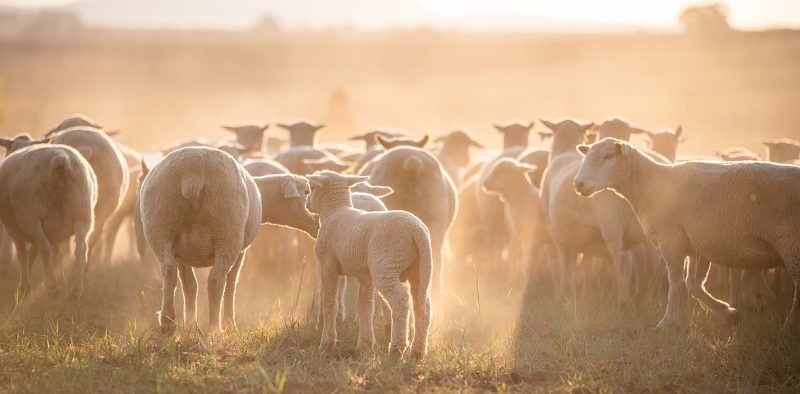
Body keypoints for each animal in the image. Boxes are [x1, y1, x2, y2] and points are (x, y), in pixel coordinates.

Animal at [0, 142, 97, 298]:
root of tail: (60, 160)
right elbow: (31, 252)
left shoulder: (14, 229)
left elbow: (22, 254)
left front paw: (24, 286)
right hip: (83, 214)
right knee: (81, 249)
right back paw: (76, 291)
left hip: (31, 216)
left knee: (45, 248)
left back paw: (52, 287)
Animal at [141, 146, 318, 334]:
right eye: (307, 192)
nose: (318, 224)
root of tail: (193, 172)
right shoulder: (241, 250)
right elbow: (231, 284)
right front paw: (229, 323)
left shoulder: (181, 253)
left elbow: (190, 286)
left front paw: (189, 324)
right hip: (227, 231)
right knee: (216, 280)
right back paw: (215, 328)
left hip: (161, 227)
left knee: (168, 270)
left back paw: (167, 323)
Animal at [306, 171, 434, 358]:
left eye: (312, 187)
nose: (306, 202)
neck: (334, 212)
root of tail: (416, 229)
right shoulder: (365, 275)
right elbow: (365, 305)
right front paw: (365, 345)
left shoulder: (327, 265)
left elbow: (329, 302)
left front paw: (327, 344)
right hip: (420, 268)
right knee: (422, 304)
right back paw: (417, 350)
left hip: (385, 266)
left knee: (401, 300)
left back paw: (397, 347)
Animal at [580, 139, 800, 330]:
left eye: (608, 156)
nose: (578, 184)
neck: (651, 186)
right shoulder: (698, 245)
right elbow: (693, 284)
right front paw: (728, 313)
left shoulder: (671, 240)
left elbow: (676, 281)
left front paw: (667, 321)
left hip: (791, 243)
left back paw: (789, 326)